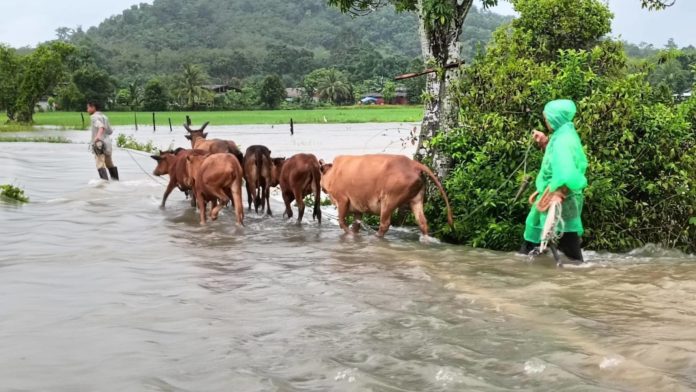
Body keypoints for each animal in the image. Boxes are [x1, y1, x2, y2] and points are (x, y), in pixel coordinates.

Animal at [320, 155, 454, 237]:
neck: (332, 173)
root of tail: (414, 164)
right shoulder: (358, 207)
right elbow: (356, 225)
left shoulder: (342, 199)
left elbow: (342, 222)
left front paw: (350, 235)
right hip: (416, 199)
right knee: (422, 222)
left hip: (389, 199)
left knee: (384, 224)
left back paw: (376, 236)